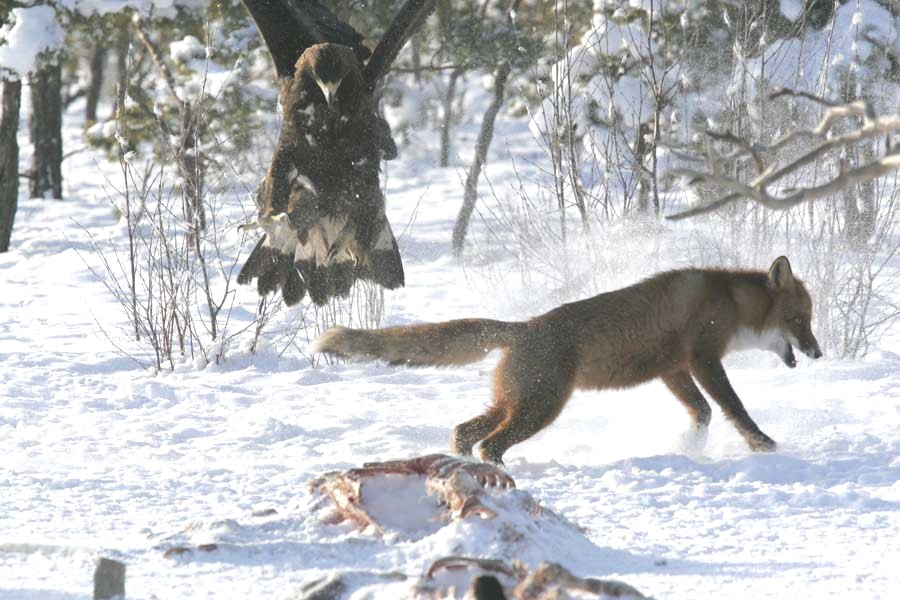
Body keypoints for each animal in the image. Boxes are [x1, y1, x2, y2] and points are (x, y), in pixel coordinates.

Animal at [316, 255, 824, 462]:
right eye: (800, 321)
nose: (818, 352)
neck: (731, 303)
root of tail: (521, 327)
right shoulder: (702, 359)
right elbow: (734, 409)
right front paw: (763, 445)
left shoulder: (673, 368)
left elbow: (701, 413)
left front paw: (688, 446)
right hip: (541, 408)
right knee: (490, 445)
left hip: (514, 403)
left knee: (464, 432)